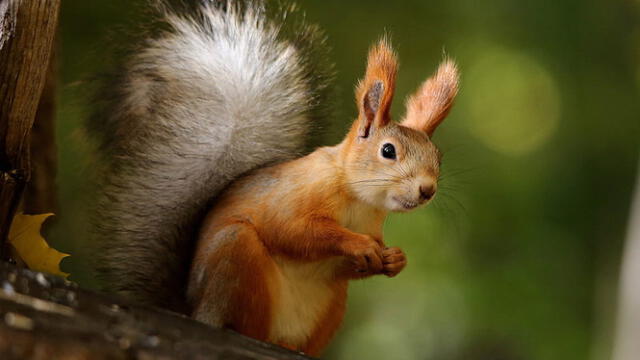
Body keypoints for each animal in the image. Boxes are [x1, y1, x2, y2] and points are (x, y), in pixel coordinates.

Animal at [87, 0, 458, 356]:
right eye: (388, 151)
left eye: (438, 157)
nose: (427, 190)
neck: (358, 200)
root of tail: (196, 310)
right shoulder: (295, 196)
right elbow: (295, 230)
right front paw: (357, 244)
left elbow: (347, 266)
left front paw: (395, 259)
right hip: (237, 257)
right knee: (246, 322)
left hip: (332, 305)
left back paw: (292, 346)